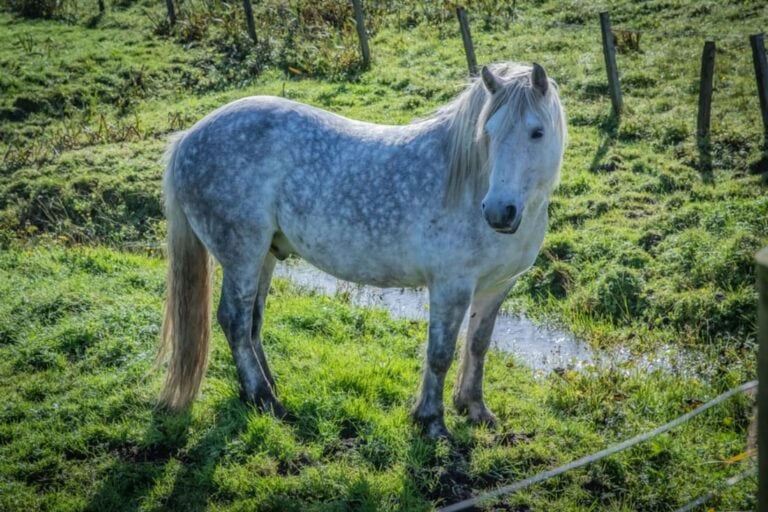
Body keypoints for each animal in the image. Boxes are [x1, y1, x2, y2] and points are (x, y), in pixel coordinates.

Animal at [157, 62, 567, 438]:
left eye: (537, 132)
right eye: (488, 131)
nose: (499, 211)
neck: (468, 182)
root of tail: (189, 137)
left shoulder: (497, 286)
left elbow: (478, 346)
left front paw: (475, 409)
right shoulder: (451, 286)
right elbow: (440, 354)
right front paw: (432, 421)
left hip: (264, 256)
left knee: (252, 322)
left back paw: (263, 389)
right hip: (242, 255)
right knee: (235, 321)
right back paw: (265, 399)